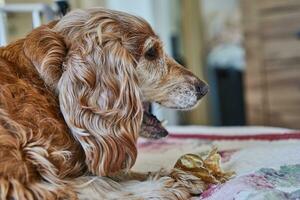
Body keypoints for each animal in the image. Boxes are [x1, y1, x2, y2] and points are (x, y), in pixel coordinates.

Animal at [0, 8, 209, 200]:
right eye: (151, 53)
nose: (204, 88)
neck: (45, 88)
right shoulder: (16, 180)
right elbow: (94, 184)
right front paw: (164, 185)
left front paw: (176, 174)